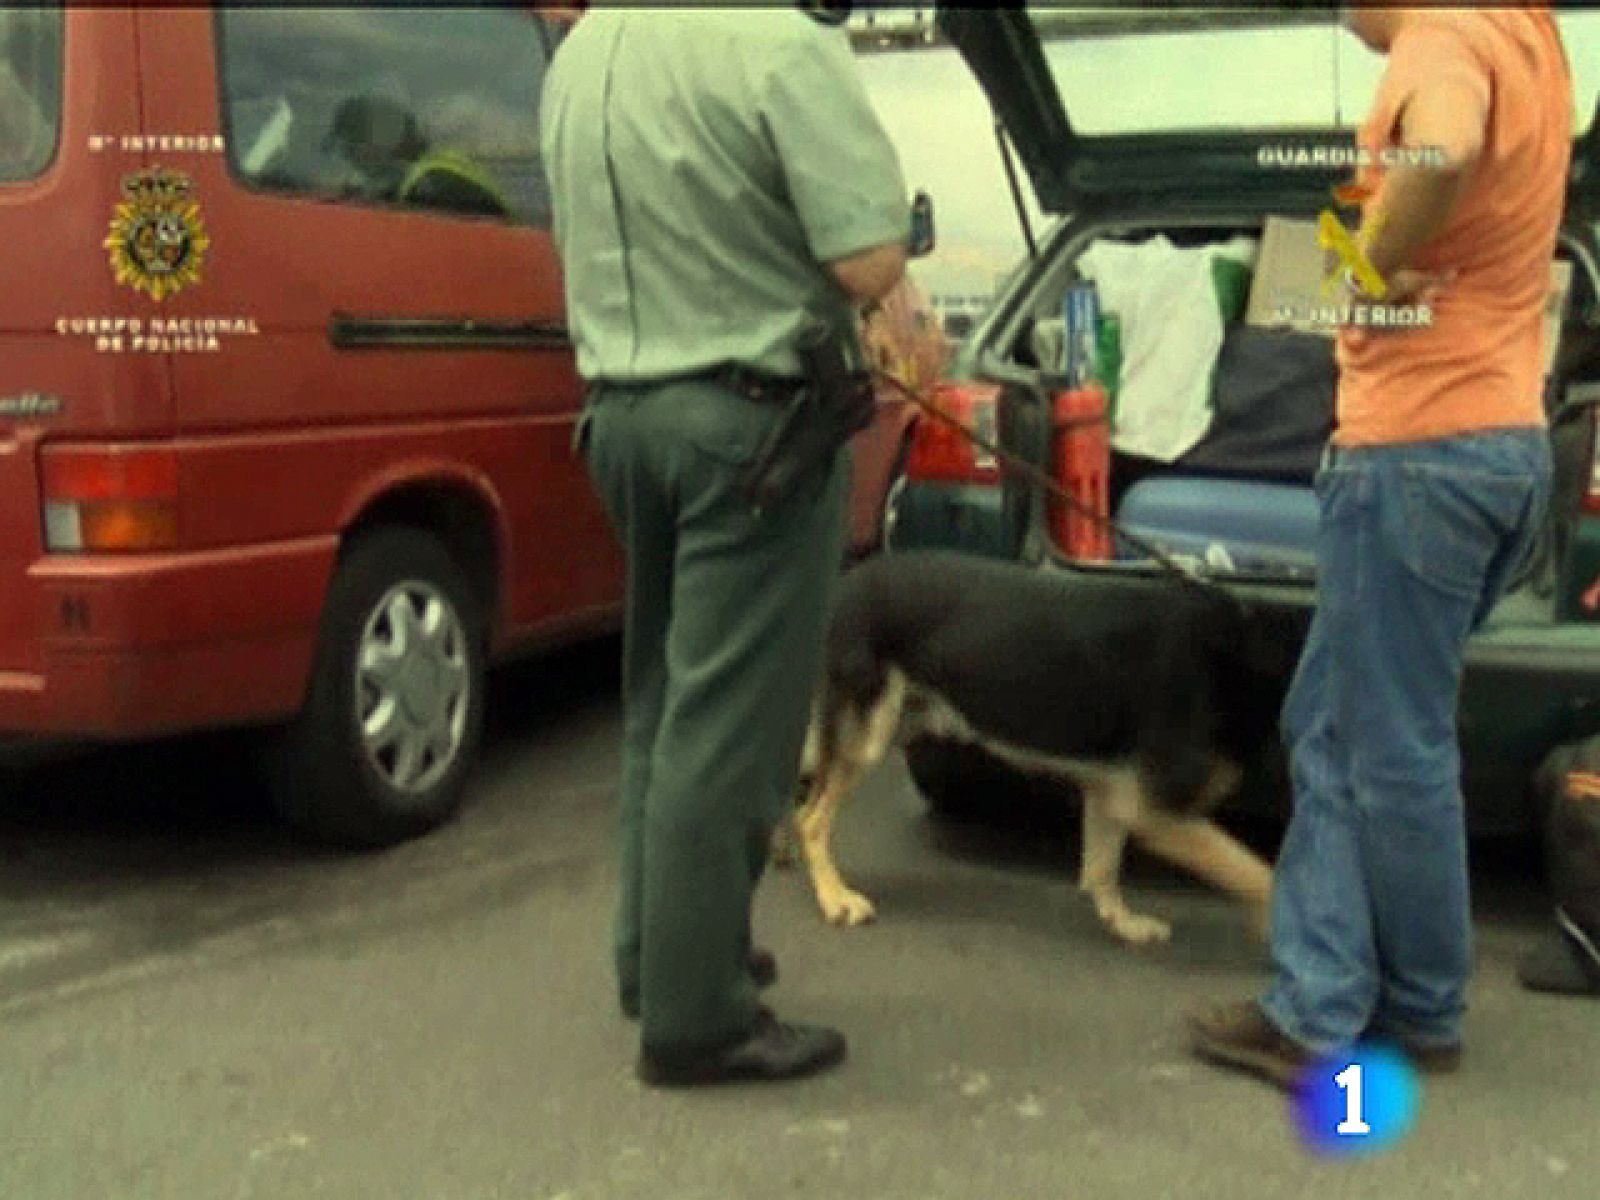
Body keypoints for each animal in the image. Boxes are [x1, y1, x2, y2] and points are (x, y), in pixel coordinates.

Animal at [784, 553, 1299, 947]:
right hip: (869, 737)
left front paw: (1124, 923)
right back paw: (836, 897)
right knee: (813, 819)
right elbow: (1256, 872)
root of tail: (847, 583)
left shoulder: (1114, 794)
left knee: (803, 800)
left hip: (893, 727)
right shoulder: (1158, 810)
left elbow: (1102, 868)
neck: (1245, 652)